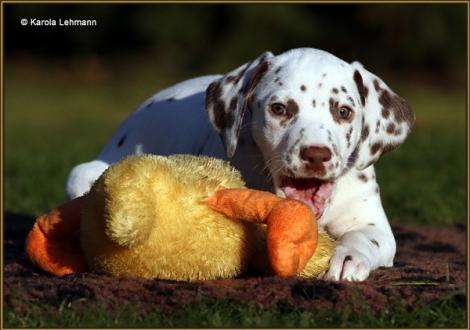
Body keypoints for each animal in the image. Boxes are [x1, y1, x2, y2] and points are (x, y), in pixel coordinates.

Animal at [67, 48, 414, 282]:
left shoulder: (373, 222)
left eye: (343, 111)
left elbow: (367, 237)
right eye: (279, 109)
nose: (316, 154)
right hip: (86, 173)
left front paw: (348, 258)